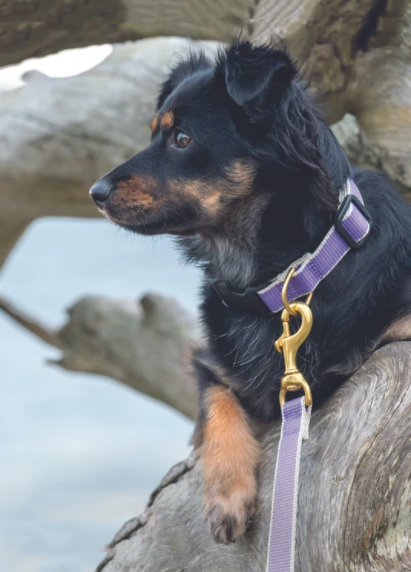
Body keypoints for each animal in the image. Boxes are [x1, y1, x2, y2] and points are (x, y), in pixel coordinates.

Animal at [88, 41, 411, 544]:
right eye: (154, 134)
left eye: (182, 139)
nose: (95, 192)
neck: (284, 280)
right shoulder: (211, 364)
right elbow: (216, 403)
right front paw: (227, 494)